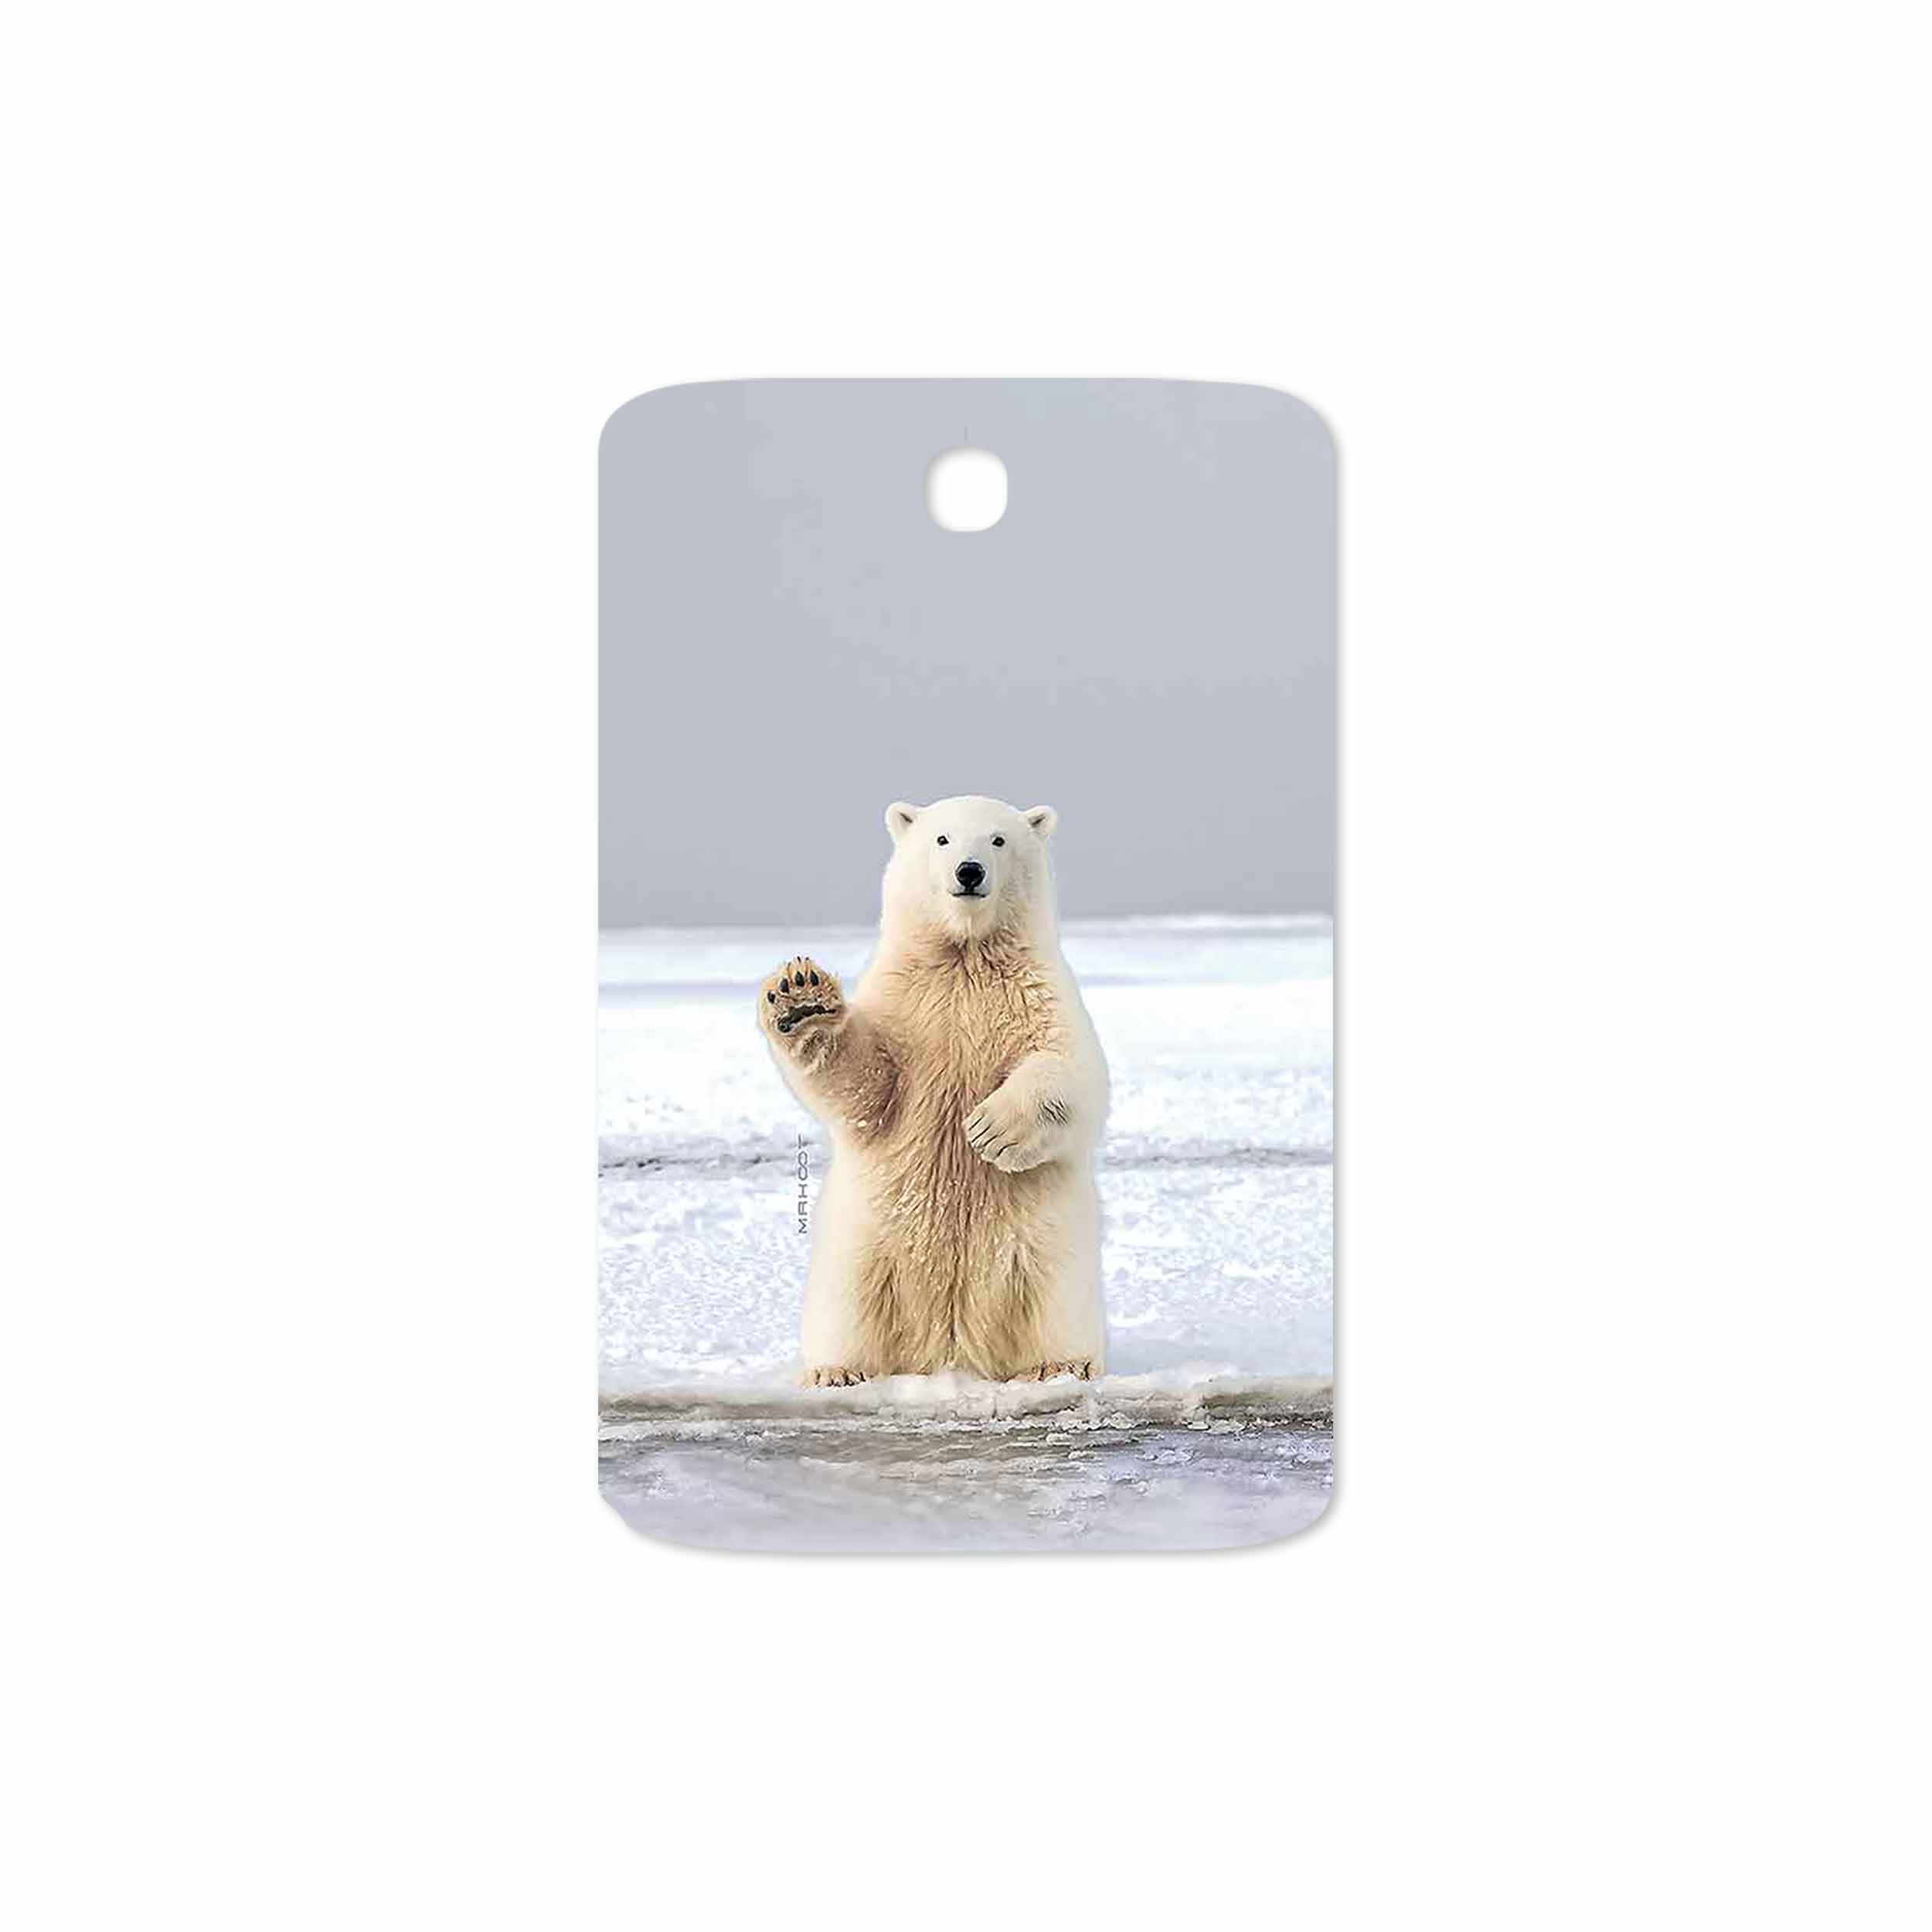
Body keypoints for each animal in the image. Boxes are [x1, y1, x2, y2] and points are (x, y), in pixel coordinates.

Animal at [758, 795, 1109, 1386]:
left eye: (998, 839)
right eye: (942, 839)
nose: (969, 872)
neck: (965, 956)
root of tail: (950, 1351)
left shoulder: (1040, 995)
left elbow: (1074, 1071)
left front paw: (990, 1129)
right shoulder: (906, 1004)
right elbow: (867, 1084)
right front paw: (801, 999)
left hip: (1049, 1248)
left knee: (1055, 1298)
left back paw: (1061, 1365)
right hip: (862, 1246)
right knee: (848, 1305)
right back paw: (837, 1371)